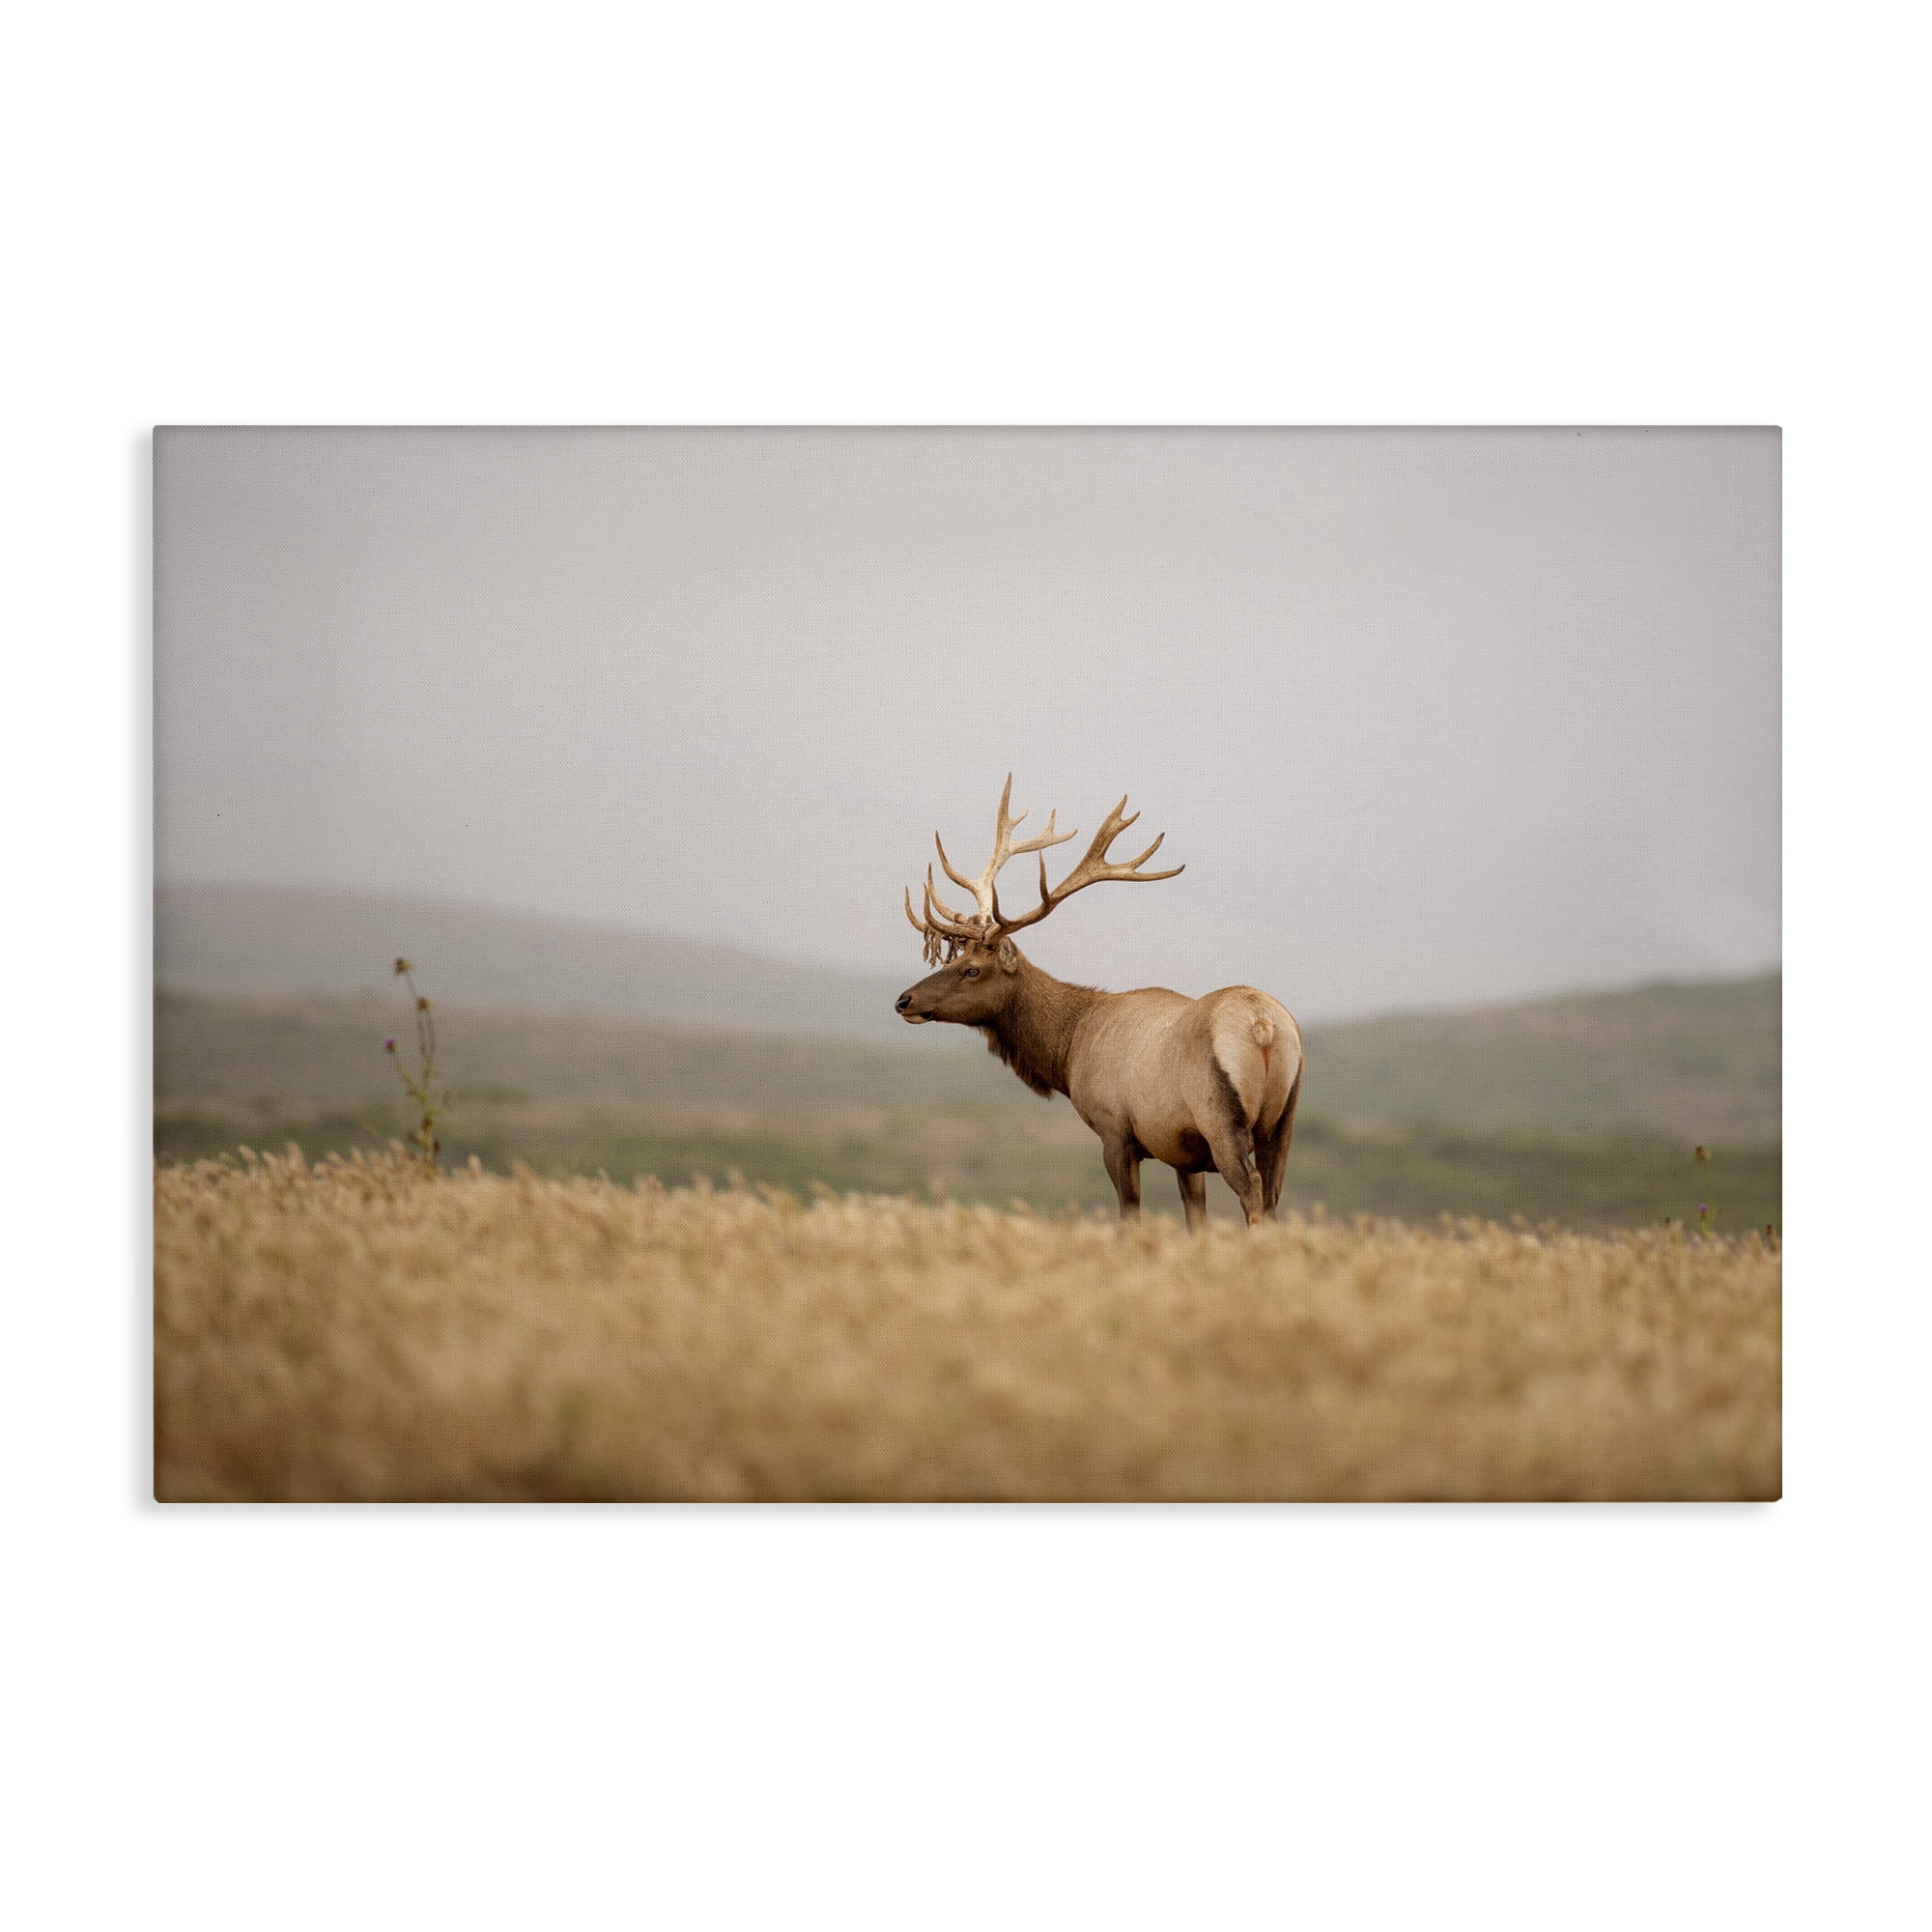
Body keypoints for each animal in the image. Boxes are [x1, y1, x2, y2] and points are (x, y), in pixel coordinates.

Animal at [897, 778, 1303, 1233]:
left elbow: (1129, 1213)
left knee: (1252, 1192)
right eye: (952, 959)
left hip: (1220, 1116)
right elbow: (1194, 1219)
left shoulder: (1115, 1129)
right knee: (1272, 1196)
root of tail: (1263, 1024)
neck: (1069, 1049)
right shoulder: (1183, 1151)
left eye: (972, 969)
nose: (905, 1000)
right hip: (1283, 1121)